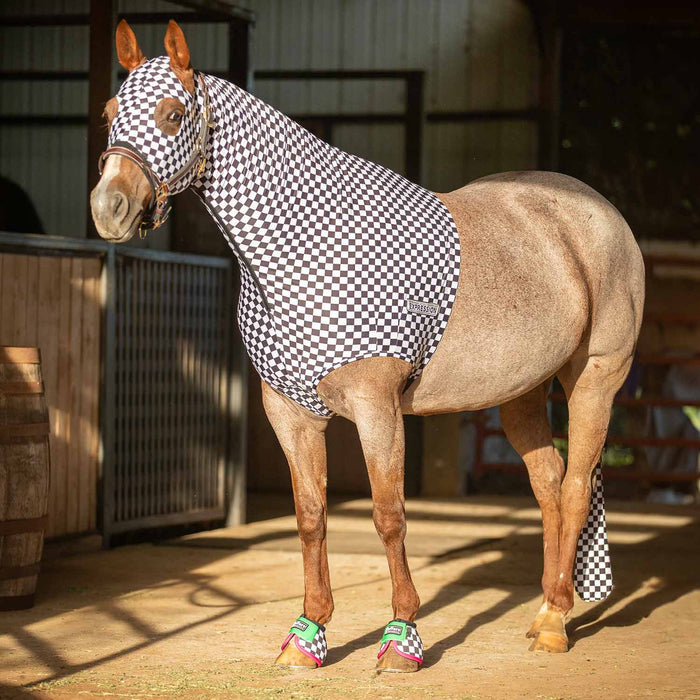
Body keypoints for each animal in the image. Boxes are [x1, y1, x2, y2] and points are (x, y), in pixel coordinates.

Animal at [90, 20, 645, 672]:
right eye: (109, 112)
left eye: (174, 114)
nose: (109, 208)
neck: (307, 244)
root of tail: (598, 211)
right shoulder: (290, 411)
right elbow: (310, 517)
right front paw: (307, 637)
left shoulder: (377, 408)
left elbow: (388, 515)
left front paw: (401, 639)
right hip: (523, 392)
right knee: (550, 484)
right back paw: (544, 613)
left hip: (595, 378)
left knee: (578, 484)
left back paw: (556, 625)